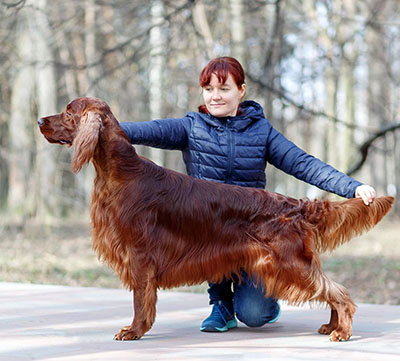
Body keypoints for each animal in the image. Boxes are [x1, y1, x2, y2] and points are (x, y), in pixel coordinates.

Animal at [38, 97, 394, 340]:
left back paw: (342, 330)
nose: (39, 119)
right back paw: (332, 325)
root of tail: (295, 204)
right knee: (330, 289)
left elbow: (141, 299)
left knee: (337, 291)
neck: (120, 172)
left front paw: (134, 330)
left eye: (68, 112)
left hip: (290, 262)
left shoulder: (139, 253)